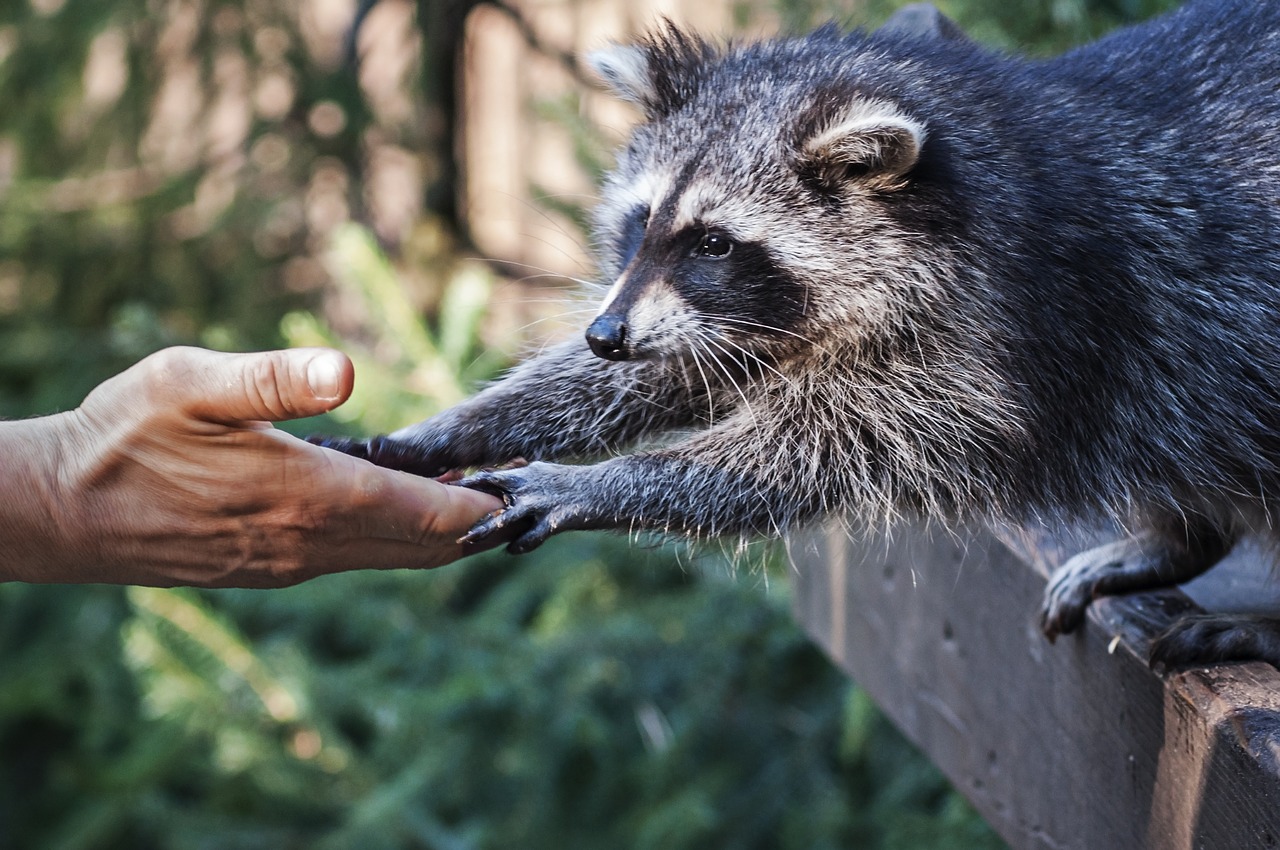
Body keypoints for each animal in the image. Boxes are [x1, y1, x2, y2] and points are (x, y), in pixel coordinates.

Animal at [314, 1, 1280, 670]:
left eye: (713, 241)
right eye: (642, 222)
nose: (603, 335)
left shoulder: (999, 337)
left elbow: (821, 449)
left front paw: (604, 482)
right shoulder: (724, 315)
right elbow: (684, 368)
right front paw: (458, 424)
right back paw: (1180, 539)